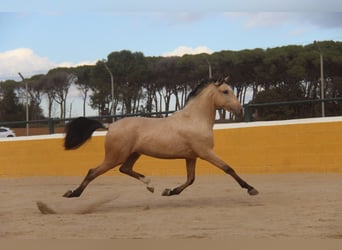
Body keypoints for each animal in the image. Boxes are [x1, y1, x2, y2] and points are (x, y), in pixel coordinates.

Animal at [62, 77, 258, 198]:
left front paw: (169, 191)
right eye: (225, 91)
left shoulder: (191, 156)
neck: (194, 119)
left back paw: (150, 185)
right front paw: (251, 189)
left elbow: (191, 179)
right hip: (114, 157)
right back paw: (72, 193)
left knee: (125, 169)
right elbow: (228, 168)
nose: (240, 109)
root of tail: (110, 126)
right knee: (93, 171)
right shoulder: (205, 152)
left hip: (133, 154)